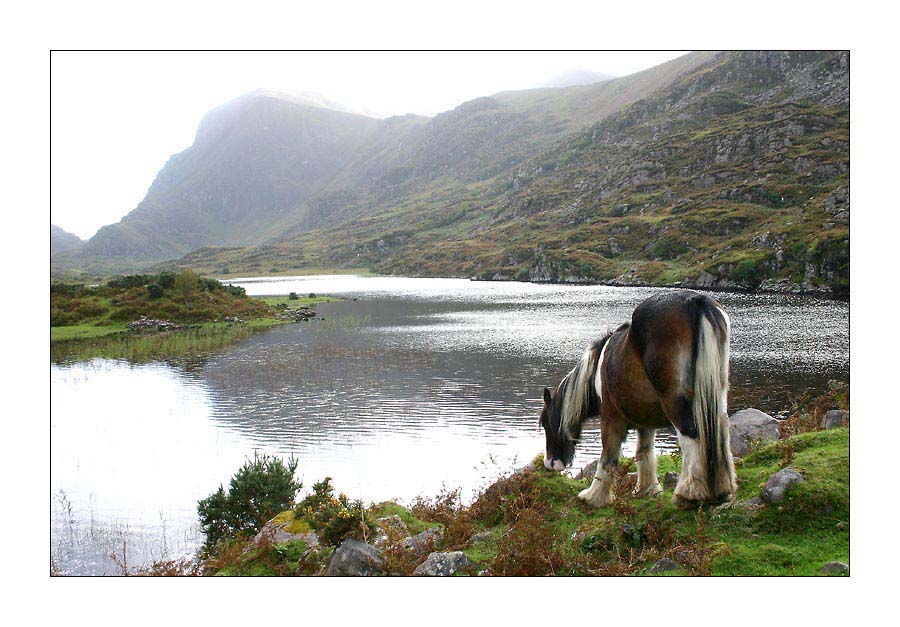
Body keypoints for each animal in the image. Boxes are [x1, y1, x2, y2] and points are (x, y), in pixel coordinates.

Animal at [536, 290, 736, 510]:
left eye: (545, 424)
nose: (550, 463)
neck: (597, 369)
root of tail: (694, 301)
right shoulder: (645, 422)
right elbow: (644, 452)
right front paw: (647, 490)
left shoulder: (610, 417)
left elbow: (608, 456)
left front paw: (594, 496)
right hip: (715, 398)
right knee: (720, 433)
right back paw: (721, 490)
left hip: (677, 403)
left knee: (691, 435)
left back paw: (689, 495)